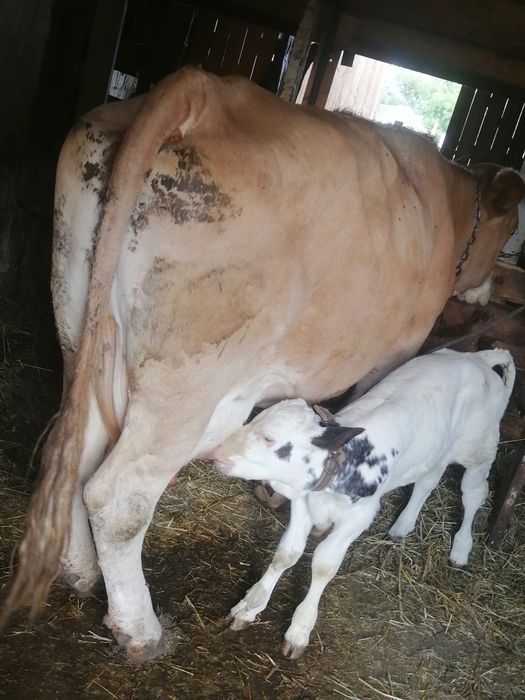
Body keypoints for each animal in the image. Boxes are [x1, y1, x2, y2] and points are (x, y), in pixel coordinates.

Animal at [210, 348, 515, 658]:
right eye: (252, 420)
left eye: (269, 438)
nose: (216, 453)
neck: (346, 462)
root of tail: (476, 357)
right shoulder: (303, 503)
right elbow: (287, 552)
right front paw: (250, 606)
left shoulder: (361, 516)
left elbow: (324, 564)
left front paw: (300, 629)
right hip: (436, 451)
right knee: (427, 481)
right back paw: (403, 525)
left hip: (479, 449)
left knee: (473, 493)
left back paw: (461, 548)